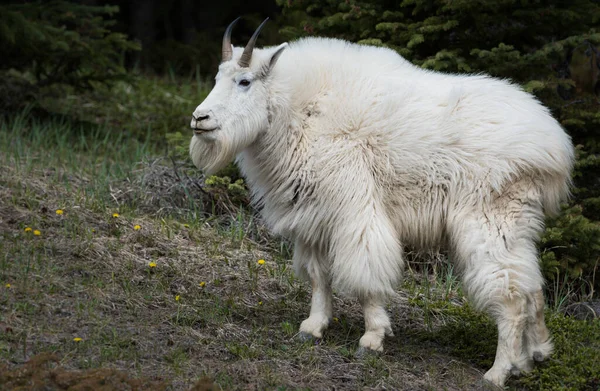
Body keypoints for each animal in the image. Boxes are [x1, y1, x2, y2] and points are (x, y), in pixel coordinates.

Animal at [190, 17, 576, 386]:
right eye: (217, 77)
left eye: (244, 81)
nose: (199, 119)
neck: (298, 109)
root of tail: (554, 146)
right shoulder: (312, 217)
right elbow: (318, 275)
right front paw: (313, 327)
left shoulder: (354, 210)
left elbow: (365, 273)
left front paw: (372, 338)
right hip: (517, 223)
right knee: (532, 288)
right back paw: (533, 357)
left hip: (489, 221)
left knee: (510, 296)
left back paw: (498, 372)